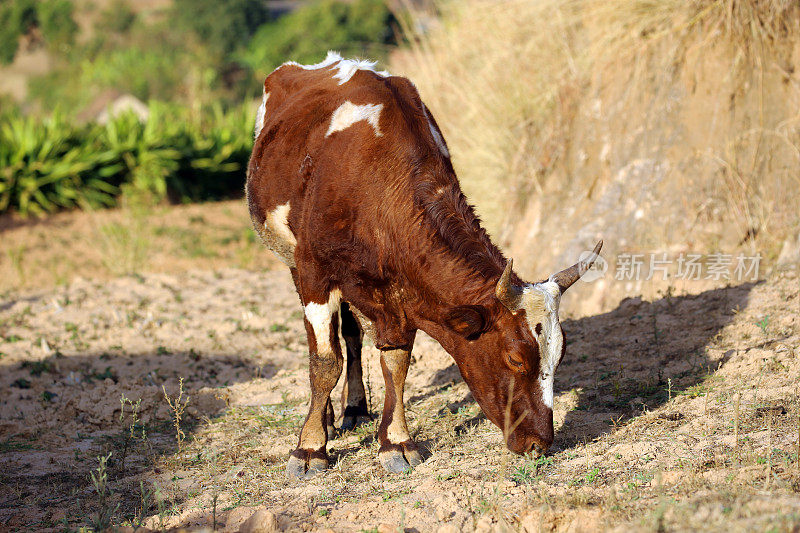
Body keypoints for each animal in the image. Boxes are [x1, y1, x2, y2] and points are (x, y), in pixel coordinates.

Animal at [247, 53, 604, 478]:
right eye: (515, 358)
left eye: (560, 355)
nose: (540, 443)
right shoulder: (315, 272)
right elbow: (324, 361)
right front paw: (310, 447)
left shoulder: (396, 296)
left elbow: (395, 364)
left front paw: (396, 442)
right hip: (292, 261)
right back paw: (330, 416)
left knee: (352, 334)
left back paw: (354, 408)